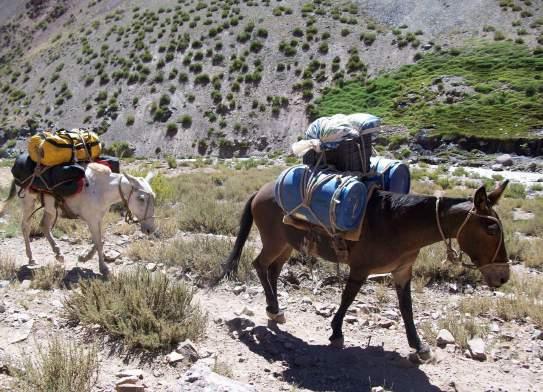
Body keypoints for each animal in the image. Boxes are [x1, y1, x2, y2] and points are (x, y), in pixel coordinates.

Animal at [1, 162, 157, 276]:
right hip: (28, 201)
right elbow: (99, 242)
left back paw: (58, 253)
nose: (150, 229)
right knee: (25, 226)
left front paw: (85, 257)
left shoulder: (98, 218)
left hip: (50, 208)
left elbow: (101, 240)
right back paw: (31, 258)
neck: (101, 190)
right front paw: (103, 267)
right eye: (141, 198)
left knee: (44, 226)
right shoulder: (92, 219)